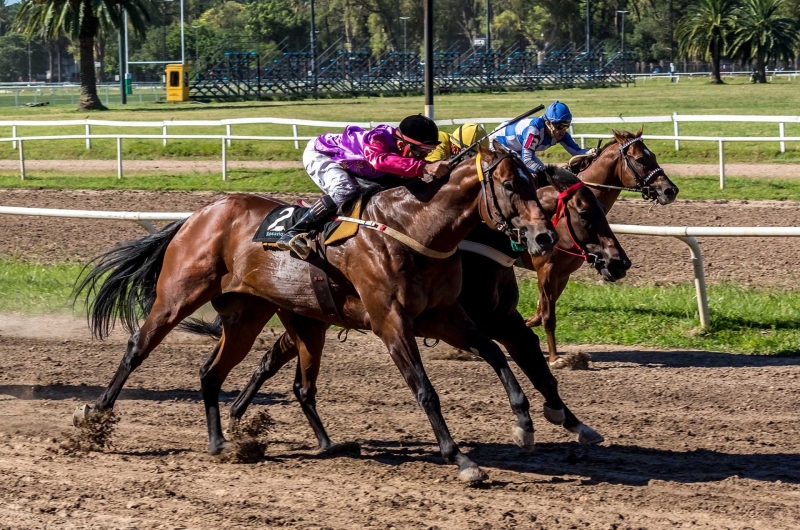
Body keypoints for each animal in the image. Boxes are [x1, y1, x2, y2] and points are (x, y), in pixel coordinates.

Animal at [197, 164, 628, 450]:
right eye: (586, 212)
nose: (619, 262)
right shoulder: (479, 319)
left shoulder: (500, 319)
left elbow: (538, 367)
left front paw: (572, 421)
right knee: (270, 359)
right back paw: (237, 416)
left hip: (308, 316)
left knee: (272, 358)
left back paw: (238, 414)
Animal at [524, 130, 680, 366]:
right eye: (640, 159)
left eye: (652, 155)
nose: (670, 190)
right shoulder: (546, 267)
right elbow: (547, 315)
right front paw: (554, 357)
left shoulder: (563, 272)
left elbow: (542, 310)